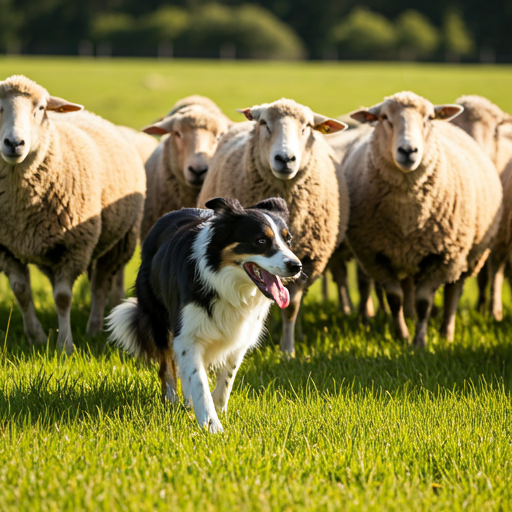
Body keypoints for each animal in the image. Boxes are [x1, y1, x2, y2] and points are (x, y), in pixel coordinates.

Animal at [0, 76, 146, 354]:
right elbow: (21, 292)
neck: (20, 206)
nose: (14, 143)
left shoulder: (74, 246)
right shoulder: (6, 248)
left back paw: (94, 328)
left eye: (41, 108)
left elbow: (63, 298)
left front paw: (65, 344)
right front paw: (36, 337)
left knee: (100, 285)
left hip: (118, 241)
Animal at [107, 196, 300, 432]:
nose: (297, 266)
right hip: (158, 318)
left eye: (288, 240)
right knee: (166, 365)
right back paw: (172, 400)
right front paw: (212, 425)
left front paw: (218, 409)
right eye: (261, 240)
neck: (228, 284)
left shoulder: (240, 336)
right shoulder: (187, 335)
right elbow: (198, 382)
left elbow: (226, 378)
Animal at [196, 97, 348, 356]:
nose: (285, 159)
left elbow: (291, 307)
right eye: (264, 123)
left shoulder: (305, 260)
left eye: (306, 127)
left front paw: (288, 350)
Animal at [342, 92, 502, 348]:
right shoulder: (376, 256)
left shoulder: (442, 256)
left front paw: (419, 342)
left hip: (466, 254)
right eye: (384, 118)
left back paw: (447, 332)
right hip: (409, 255)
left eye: (428, 118)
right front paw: (402, 336)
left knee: (454, 290)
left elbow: (424, 303)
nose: (408, 151)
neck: (407, 213)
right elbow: (395, 298)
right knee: (409, 286)